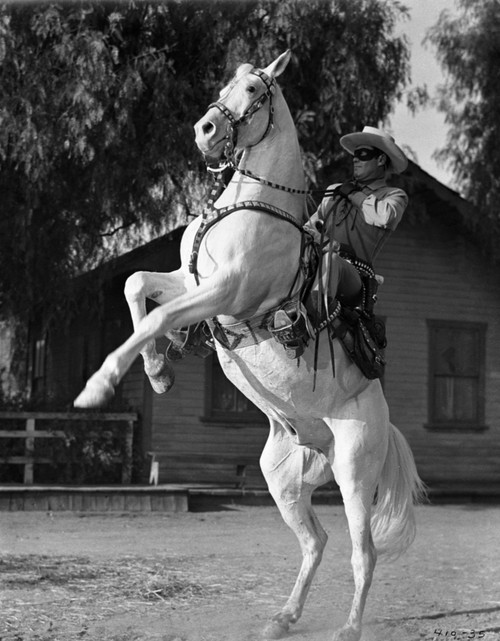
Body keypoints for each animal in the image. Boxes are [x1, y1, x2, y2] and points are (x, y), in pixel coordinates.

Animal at [74, 50, 425, 641]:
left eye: (256, 91)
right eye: (225, 85)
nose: (204, 130)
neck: (254, 205)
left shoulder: (225, 292)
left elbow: (157, 315)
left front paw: (98, 387)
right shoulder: (192, 282)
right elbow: (138, 286)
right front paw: (159, 372)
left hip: (356, 473)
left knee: (363, 552)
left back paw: (349, 627)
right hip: (284, 479)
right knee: (316, 542)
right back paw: (283, 618)